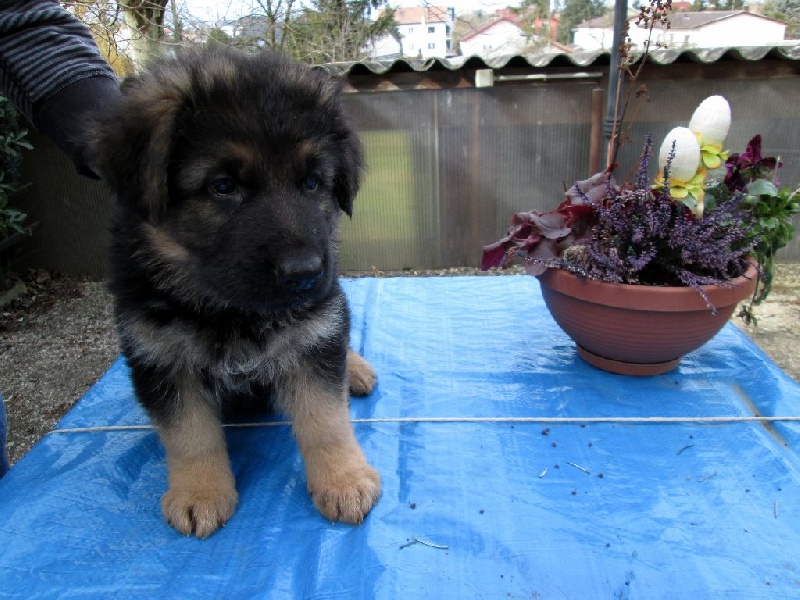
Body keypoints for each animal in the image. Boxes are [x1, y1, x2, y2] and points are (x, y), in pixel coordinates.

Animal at [90, 46, 381, 538]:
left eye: (312, 182)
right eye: (223, 186)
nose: (306, 273)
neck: (228, 309)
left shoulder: (311, 335)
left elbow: (325, 418)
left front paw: (344, 480)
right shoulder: (161, 357)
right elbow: (189, 434)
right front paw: (200, 494)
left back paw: (356, 369)